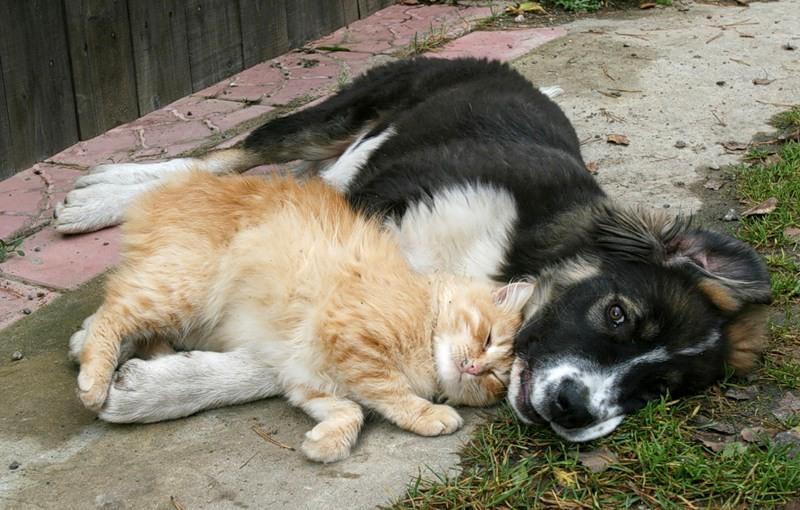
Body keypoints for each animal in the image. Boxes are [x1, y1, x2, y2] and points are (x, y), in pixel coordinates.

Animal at [75, 171, 532, 462]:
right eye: (487, 338)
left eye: (495, 377)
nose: (474, 368)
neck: (423, 313)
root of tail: (175, 186)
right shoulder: (353, 340)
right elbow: (391, 393)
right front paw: (430, 415)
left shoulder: (306, 377)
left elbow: (349, 411)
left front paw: (324, 444)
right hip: (183, 289)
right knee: (113, 309)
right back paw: (93, 380)